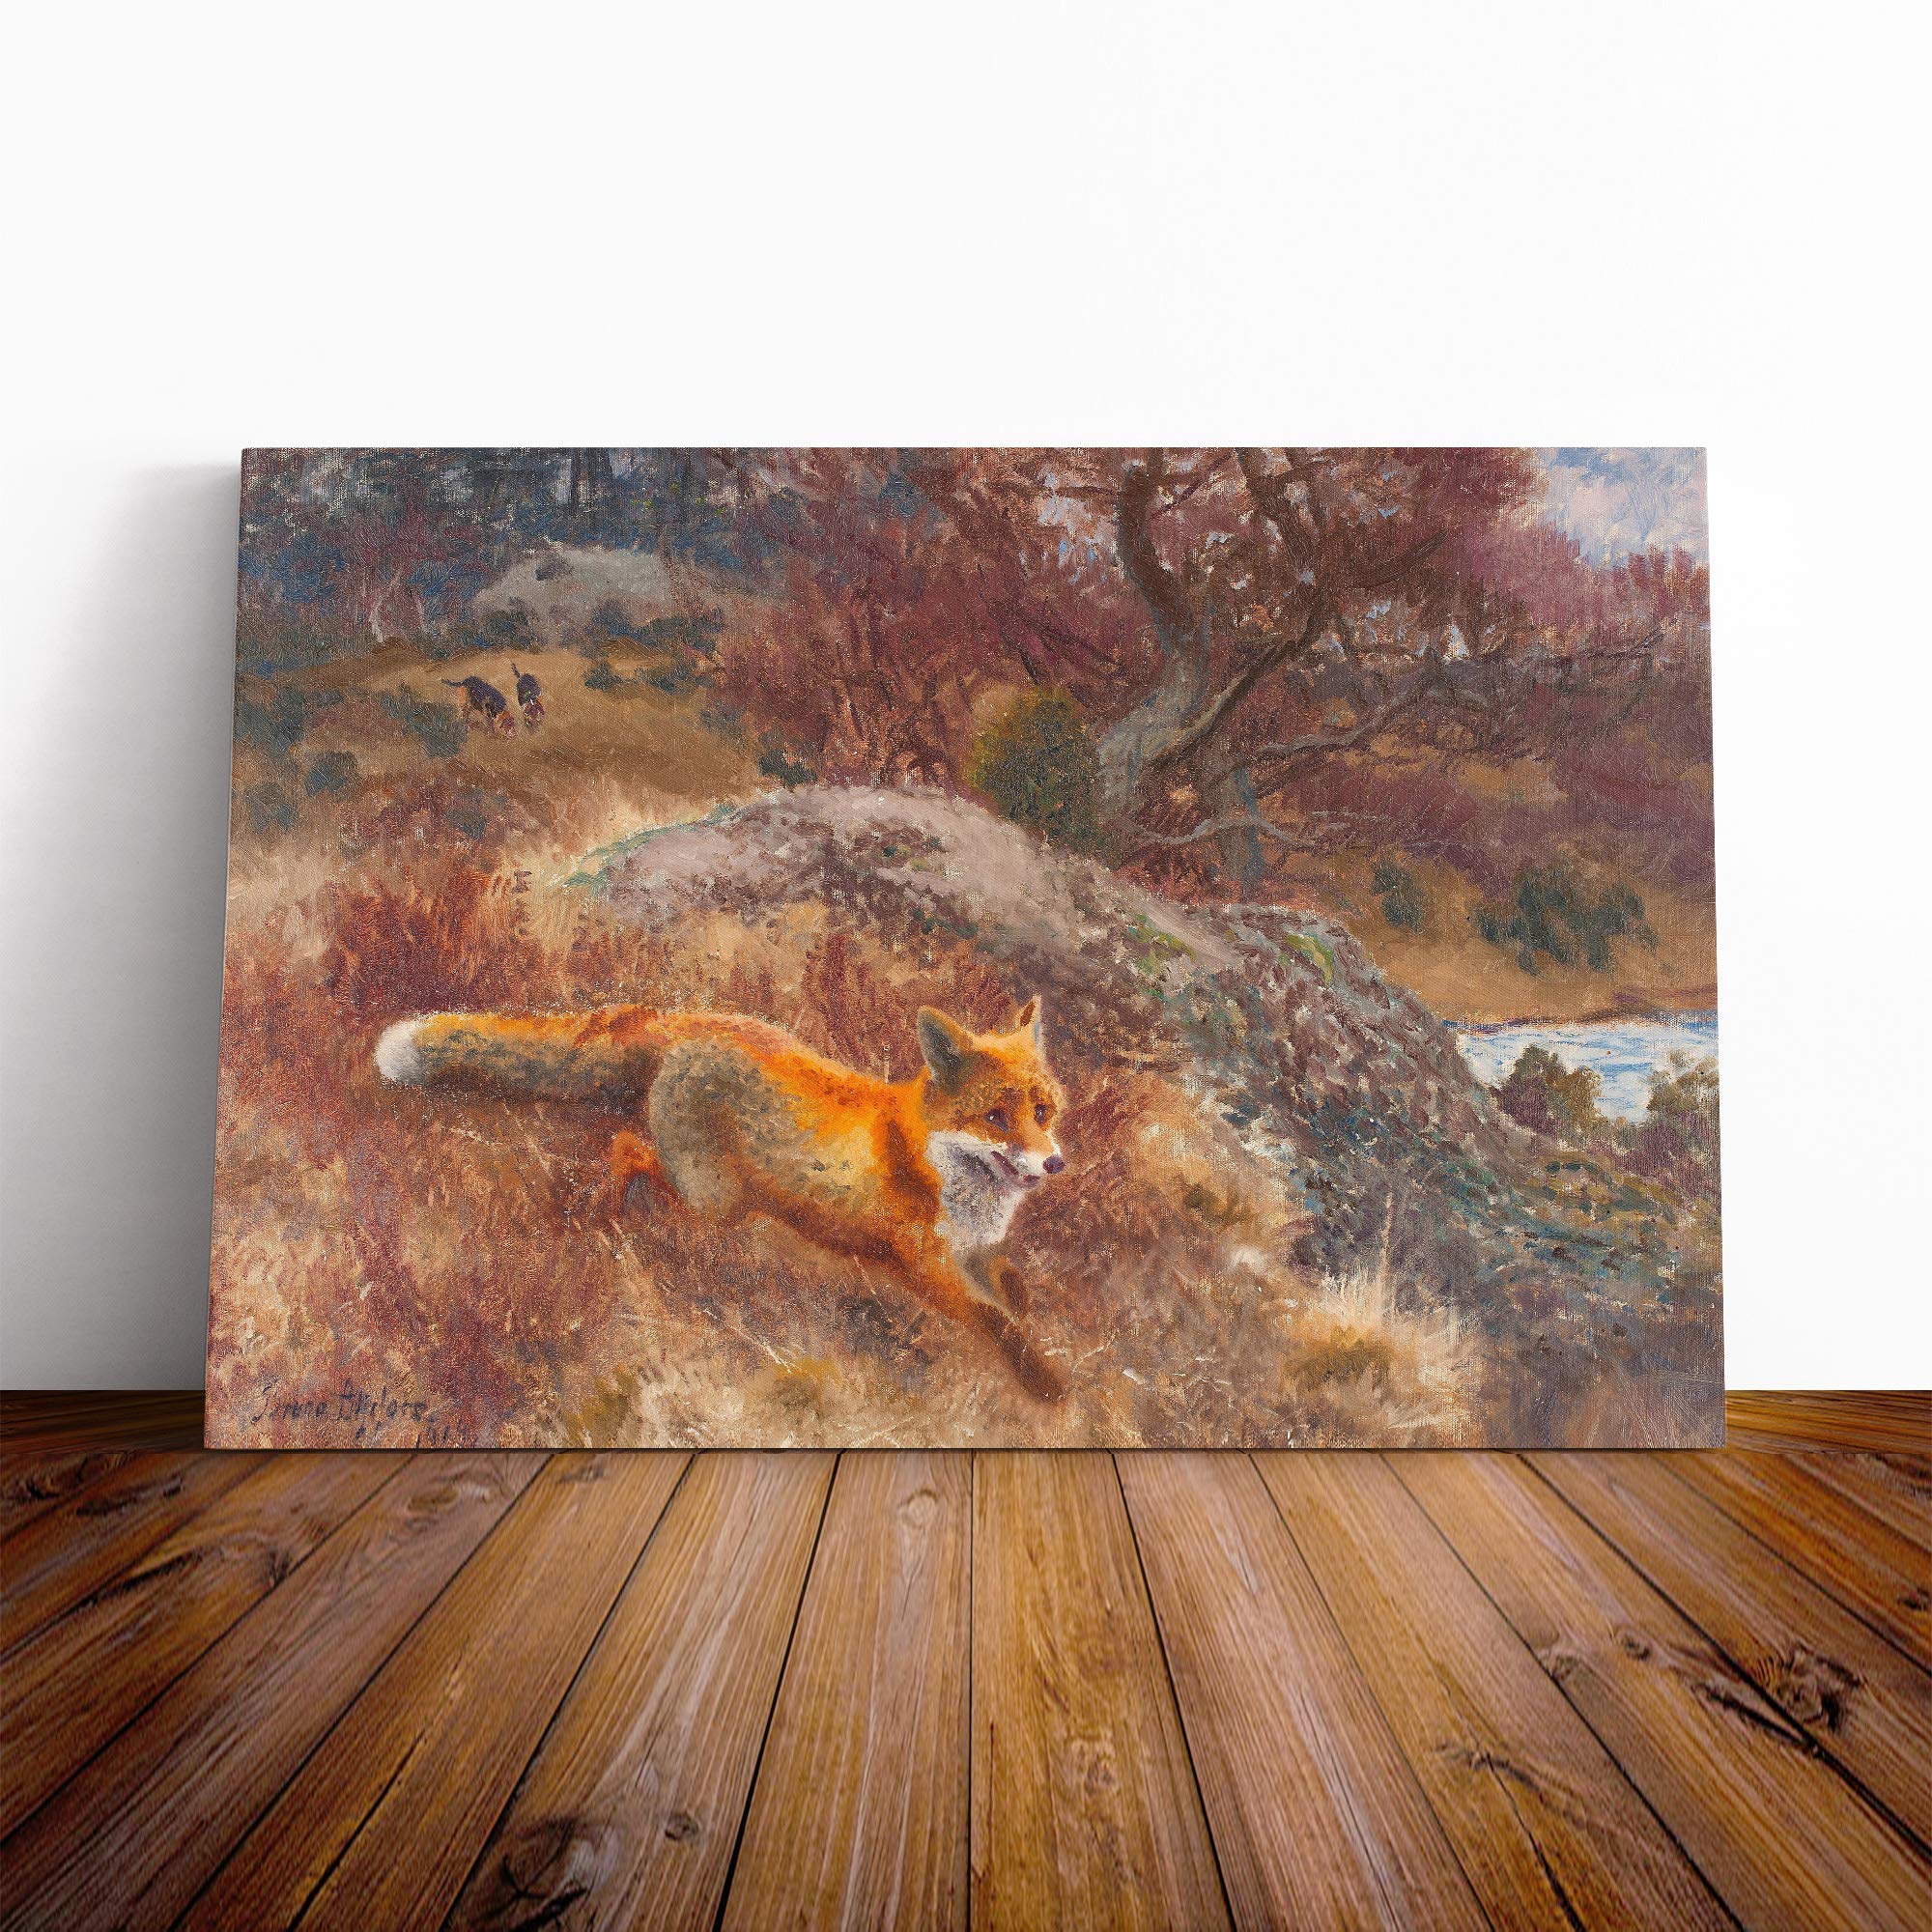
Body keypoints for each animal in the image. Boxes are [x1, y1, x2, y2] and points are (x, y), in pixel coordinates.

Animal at [373, 995, 1070, 1400]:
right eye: (996, 1118)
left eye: (1042, 1111)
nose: (1054, 1164)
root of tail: (687, 1020)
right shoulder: (927, 1262)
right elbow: (997, 1320)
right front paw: (1047, 1381)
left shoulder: (976, 1252)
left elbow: (1011, 1286)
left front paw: (1032, 1308)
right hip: (714, 1196)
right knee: (627, 1144)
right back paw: (606, 1206)